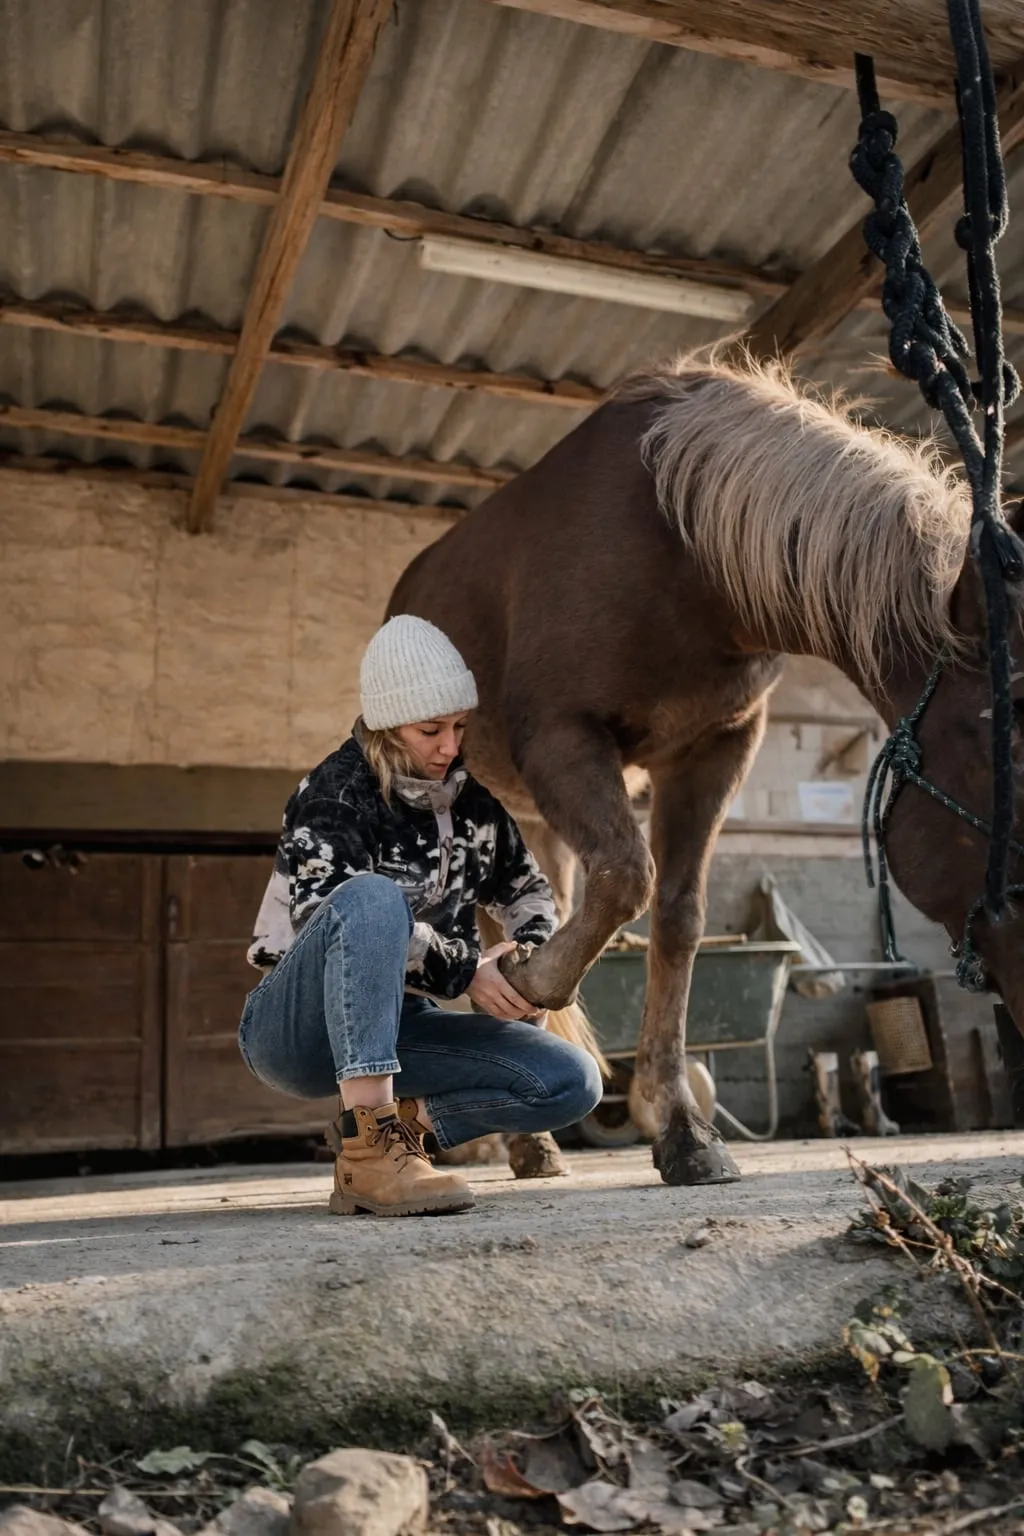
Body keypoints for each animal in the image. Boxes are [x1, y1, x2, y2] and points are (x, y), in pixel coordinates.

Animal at [387, 351, 1024, 1187]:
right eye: (1000, 754)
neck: (681, 550)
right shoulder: (563, 736)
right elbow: (628, 876)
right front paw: (529, 983)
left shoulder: (713, 752)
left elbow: (676, 917)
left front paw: (679, 1125)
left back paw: (535, 1141)